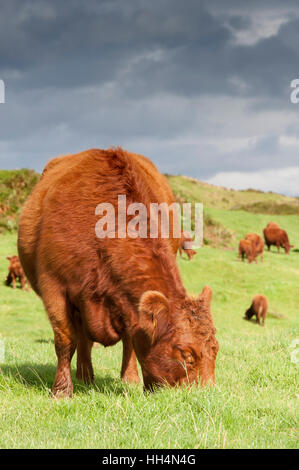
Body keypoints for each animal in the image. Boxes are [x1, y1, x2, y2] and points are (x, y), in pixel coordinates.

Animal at [19, 148, 220, 396]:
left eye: (215, 349)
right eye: (186, 354)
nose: (207, 394)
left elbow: (131, 337)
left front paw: (131, 378)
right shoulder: (54, 287)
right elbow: (65, 340)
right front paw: (61, 390)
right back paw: (84, 375)